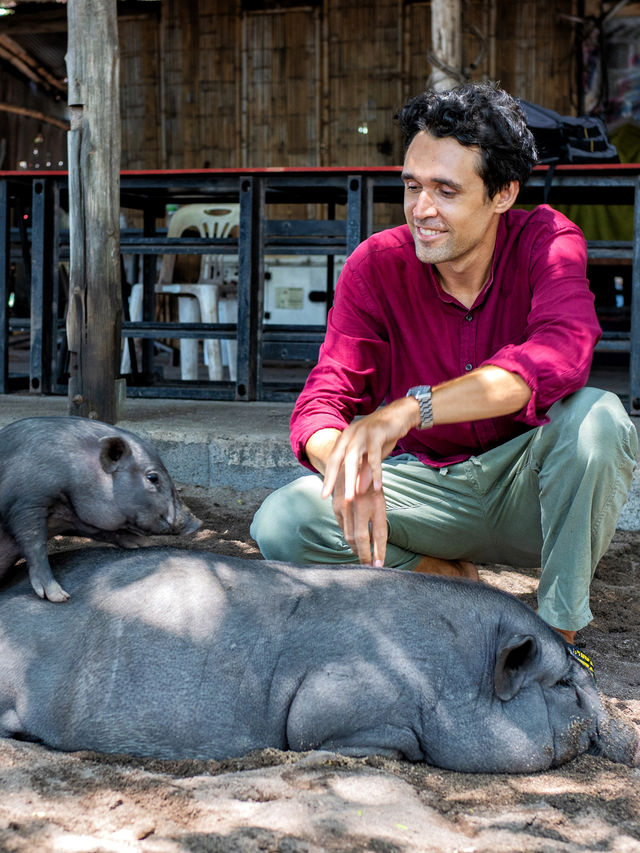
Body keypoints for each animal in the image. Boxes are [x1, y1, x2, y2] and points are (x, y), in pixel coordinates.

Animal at [0, 418, 200, 604]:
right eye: (152, 477)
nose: (197, 522)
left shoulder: (78, 517)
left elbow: (104, 532)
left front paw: (142, 544)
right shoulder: (26, 504)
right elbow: (35, 544)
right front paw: (59, 596)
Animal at [0, 544, 636, 772]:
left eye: (586, 673)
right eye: (563, 685)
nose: (629, 736)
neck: (449, 678)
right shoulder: (338, 697)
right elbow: (316, 732)